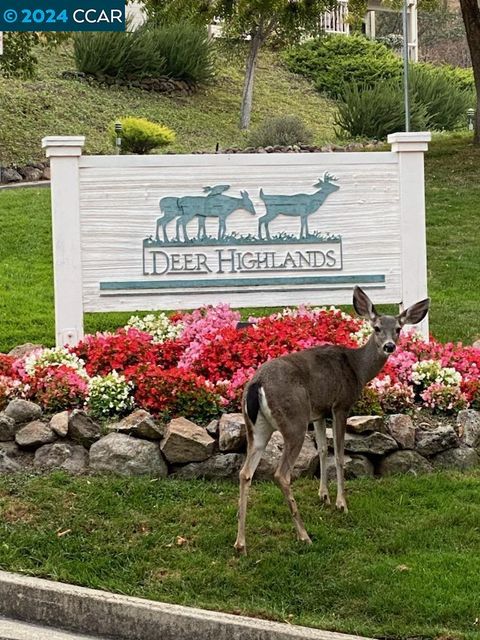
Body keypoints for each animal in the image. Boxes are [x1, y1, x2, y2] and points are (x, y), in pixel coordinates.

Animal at [234, 286, 430, 556]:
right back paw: (303, 535)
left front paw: (323, 496)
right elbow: (338, 454)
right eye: (377, 327)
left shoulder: (318, 412)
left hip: (257, 428)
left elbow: (322, 450)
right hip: (293, 421)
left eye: (398, 329)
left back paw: (241, 543)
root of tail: (256, 384)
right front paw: (341, 503)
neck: (357, 368)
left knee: (245, 473)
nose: (390, 346)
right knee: (281, 474)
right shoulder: (340, 405)